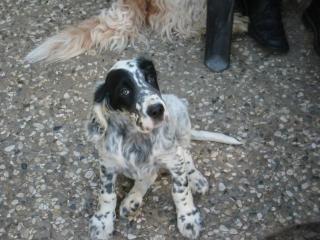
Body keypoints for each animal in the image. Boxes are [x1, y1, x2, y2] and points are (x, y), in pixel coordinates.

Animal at [85, 57, 240, 239]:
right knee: (149, 176)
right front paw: (102, 222)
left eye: (151, 78)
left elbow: (180, 191)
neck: (136, 136)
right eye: (124, 91)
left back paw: (196, 178)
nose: (157, 109)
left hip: (181, 120)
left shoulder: (173, 160)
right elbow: (107, 195)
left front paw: (188, 218)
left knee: (186, 154)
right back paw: (132, 200)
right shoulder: (107, 164)